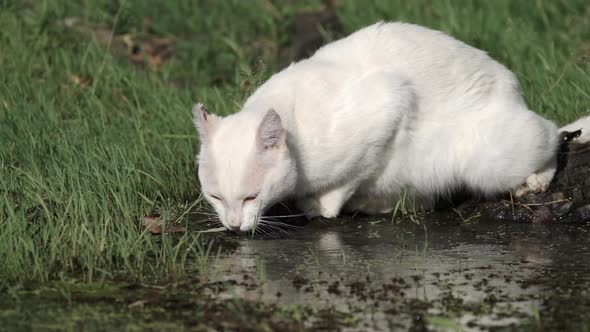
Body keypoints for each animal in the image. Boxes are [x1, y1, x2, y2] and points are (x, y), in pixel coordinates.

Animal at [194, 22, 590, 232]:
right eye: (216, 197)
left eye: (251, 197)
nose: (232, 225)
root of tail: (512, 85)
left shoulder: (389, 104)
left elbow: (347, 180)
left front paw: (323, 205)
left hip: (487, 158)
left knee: (551, 133)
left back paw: (537, 178)